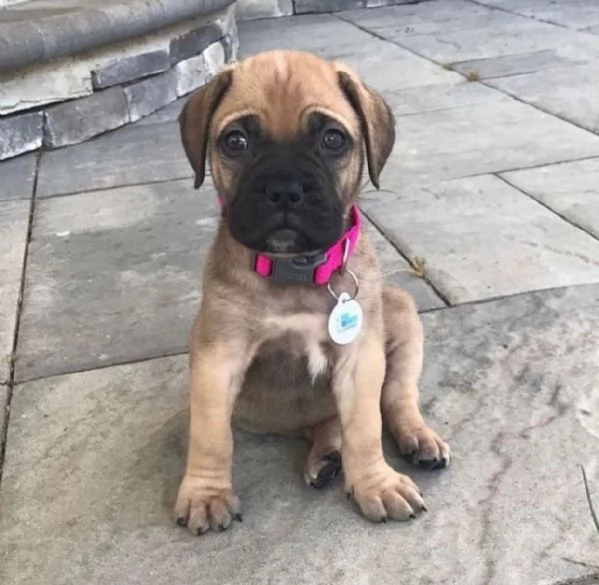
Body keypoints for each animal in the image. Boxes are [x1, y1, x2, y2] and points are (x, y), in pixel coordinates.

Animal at [173, 50, 450, 532]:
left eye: (333, 139)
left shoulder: (360, 360)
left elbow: (365, 427)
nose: (285, 190)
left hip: (398, 312)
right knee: (328, 423)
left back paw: (417, 438)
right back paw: (327, 454)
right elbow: (210, 433)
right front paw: (207, 493)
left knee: (395, 398)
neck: (295, 268)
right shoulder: (217, 357)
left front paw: (376, 483)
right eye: (235, 141)